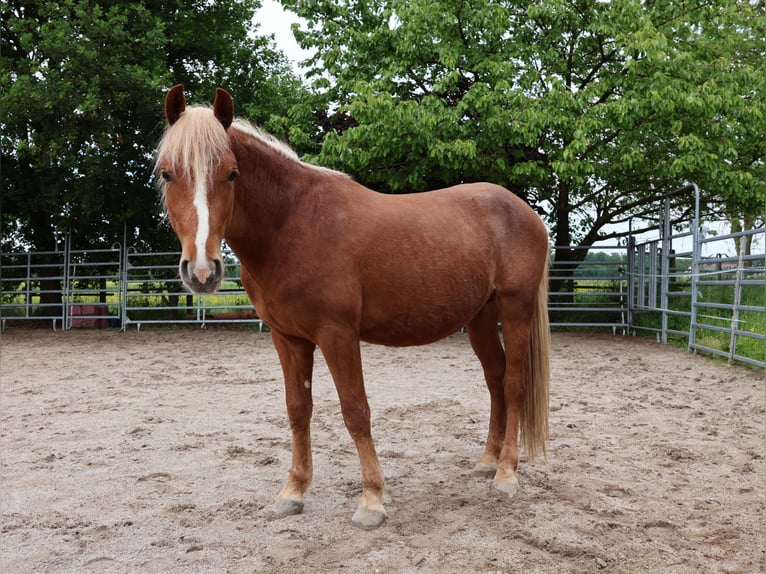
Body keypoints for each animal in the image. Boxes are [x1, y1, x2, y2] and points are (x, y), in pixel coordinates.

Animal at [155, 84, 551, 529]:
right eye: (167, 173)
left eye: (232, 173)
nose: (202, 271)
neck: (293, 224)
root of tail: (525, 212)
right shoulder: (288, 338)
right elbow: (298, 410)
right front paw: (293, 492)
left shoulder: (337, 334)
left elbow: (355, 410)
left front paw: (372, 501)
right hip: (480, 318)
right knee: (495, 381)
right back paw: (487, 460)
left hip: (515, 310)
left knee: (514, 385)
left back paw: (506, 473)